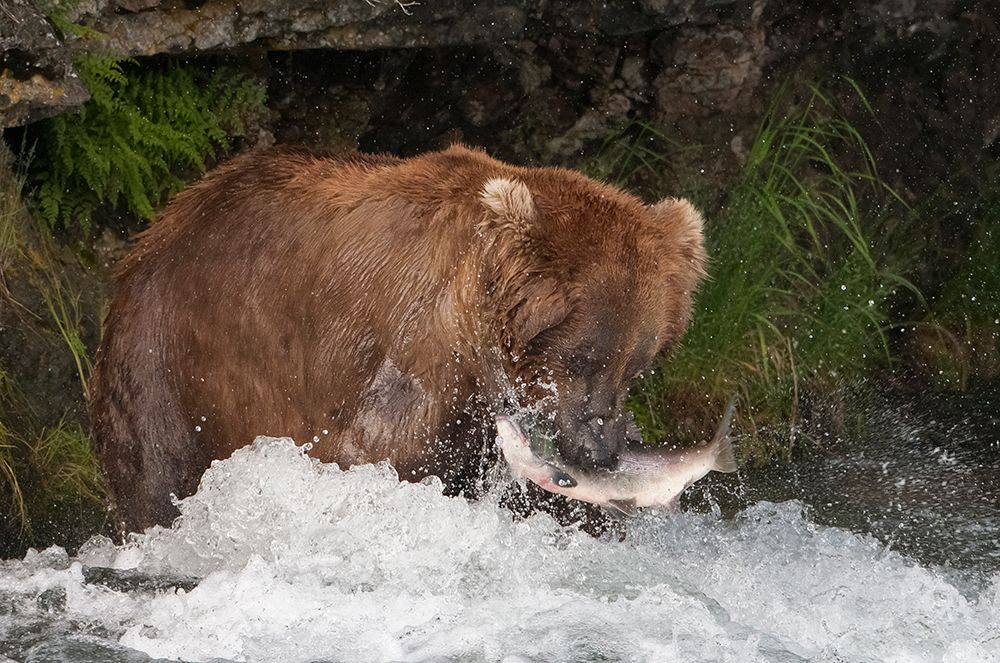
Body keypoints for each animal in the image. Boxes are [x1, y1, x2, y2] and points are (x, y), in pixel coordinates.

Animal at [89, 144, 706, 532]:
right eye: (579, 357)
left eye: (638, 365)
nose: (599, 451)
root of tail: (165, 219)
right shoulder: (413, 359)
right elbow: (371, 457)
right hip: (168, 356)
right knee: (154, 470)